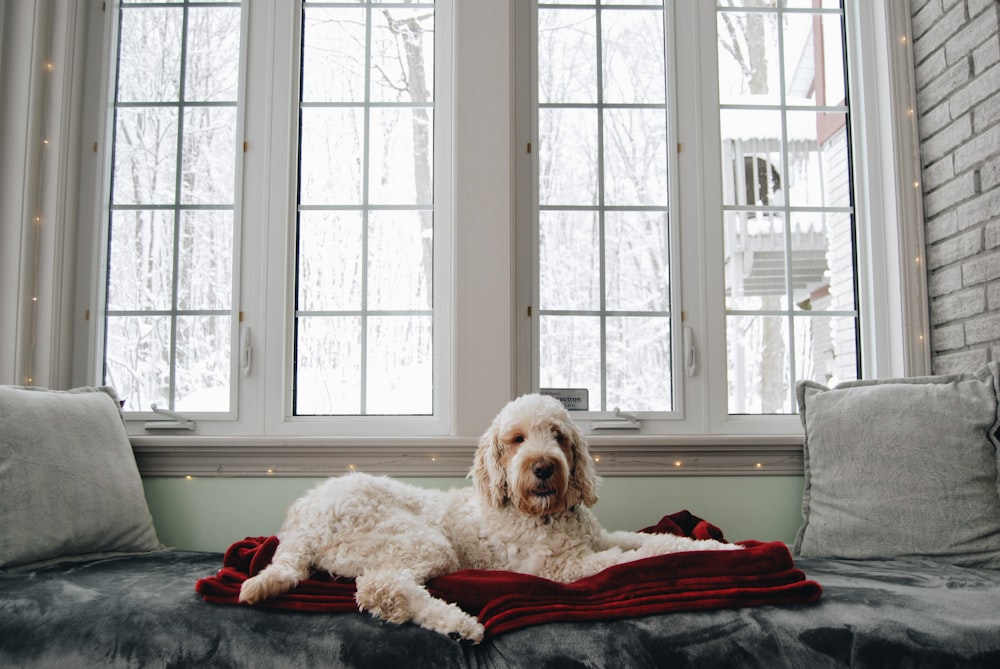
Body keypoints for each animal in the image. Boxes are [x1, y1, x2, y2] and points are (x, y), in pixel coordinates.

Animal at [240, 394, 744, 640]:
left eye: (557, 435)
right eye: (517, 439)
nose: (543, 468)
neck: (546, 514)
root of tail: (302, 519)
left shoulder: (598, 540)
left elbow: (658, 541)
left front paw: (720, 546)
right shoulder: (568, 569)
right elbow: (633, 559)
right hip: (420, 542)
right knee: (381, 587)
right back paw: (460, 624)